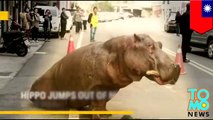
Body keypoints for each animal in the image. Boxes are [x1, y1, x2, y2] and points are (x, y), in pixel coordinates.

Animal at [29, 33, 180, 119]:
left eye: (160, 44)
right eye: (149, 46)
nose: (176, 67)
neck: (120, 52)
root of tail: (31, 88)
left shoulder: (111, 87)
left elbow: (103, 103)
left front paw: (106, 114)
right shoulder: (96, 86)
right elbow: (97, 102)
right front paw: (98, 116)